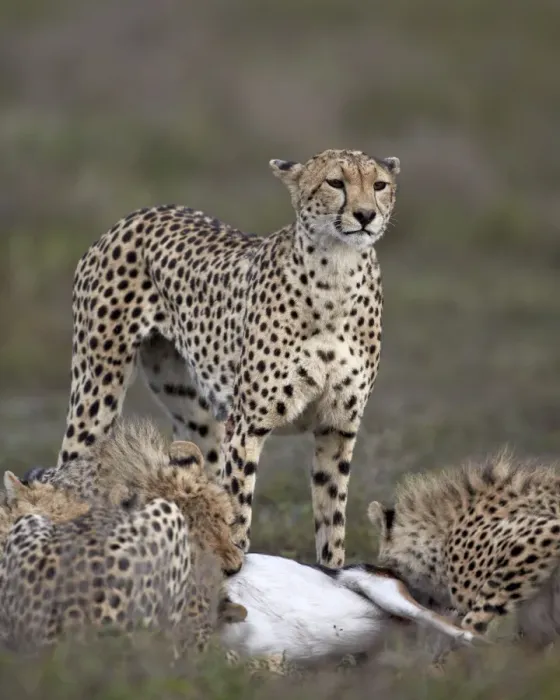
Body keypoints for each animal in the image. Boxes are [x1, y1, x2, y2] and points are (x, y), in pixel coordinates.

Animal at [52, 147, 400, 568]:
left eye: (379, 185)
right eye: (335, 182)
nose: (366, 215)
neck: (337, 275)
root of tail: (141, 212)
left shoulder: (337, 427)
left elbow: (331, 522)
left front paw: (332, 573)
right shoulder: (248, 424)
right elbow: (238, 509)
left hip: (195, 416)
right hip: (97, 392)